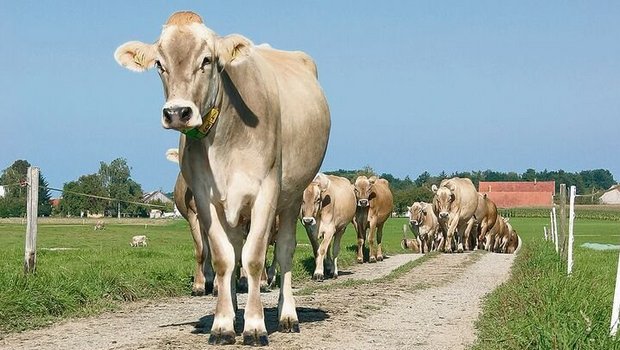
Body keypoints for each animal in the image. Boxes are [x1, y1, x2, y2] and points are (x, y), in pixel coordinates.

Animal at [115, 11, 330, 348]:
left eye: (207, 59)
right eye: (160, 64)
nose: (177, 112)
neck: (224, 138)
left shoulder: (265, 193)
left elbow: (254, 258)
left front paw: (254, 326)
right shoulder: (206, 200)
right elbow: (223, 259)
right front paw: (223, 323)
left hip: (292, 199)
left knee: (284, 252)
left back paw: (287, 316)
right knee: (234, 251)